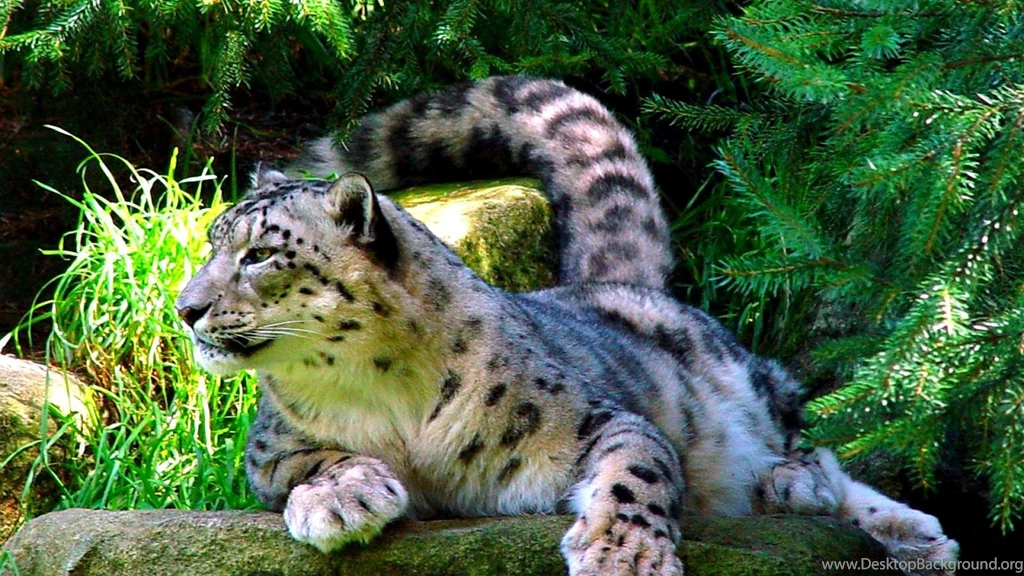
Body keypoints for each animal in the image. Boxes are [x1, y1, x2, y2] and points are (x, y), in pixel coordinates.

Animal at [176, 76, 959, 575]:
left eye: (259, 254)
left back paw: (833, 500)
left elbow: (637, 468)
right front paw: (343, 498)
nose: (186, 308)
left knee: (813, 440)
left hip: (748, 380)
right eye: (211, 244)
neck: (381, 390)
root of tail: (611, 280)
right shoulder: (267, 450)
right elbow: (307, 461)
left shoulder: (589, 420)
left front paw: (623, 556)